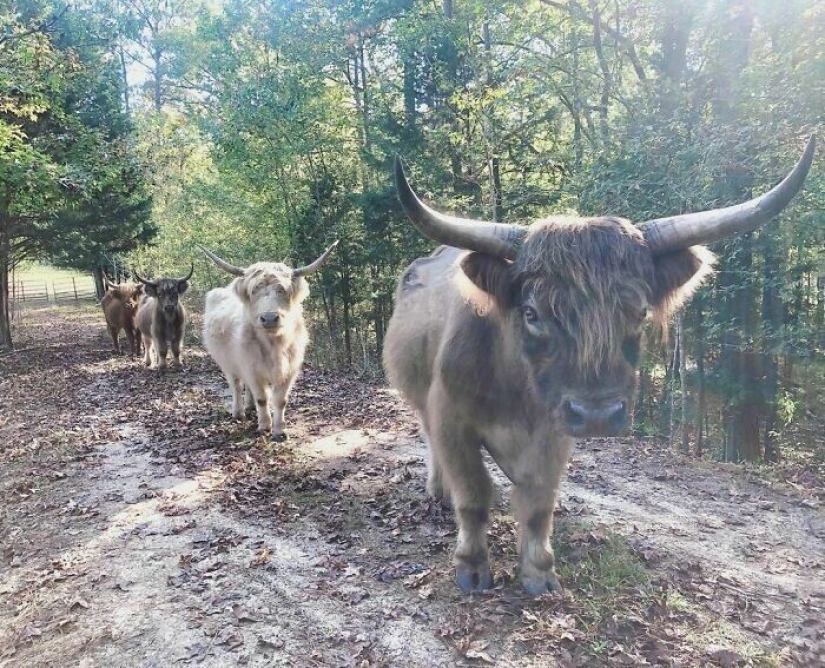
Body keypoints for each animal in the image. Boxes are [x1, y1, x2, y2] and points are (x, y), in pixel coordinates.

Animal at [384, 136, 816, 596]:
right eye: (532, 312)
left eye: (640, 311)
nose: (597, 414)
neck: (516, 391)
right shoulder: (452, 419)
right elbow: (473, 496)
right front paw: (471, 566)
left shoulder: (553, 432)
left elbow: (538, 501)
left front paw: (538, 571)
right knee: (431, 444)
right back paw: (438, 490)